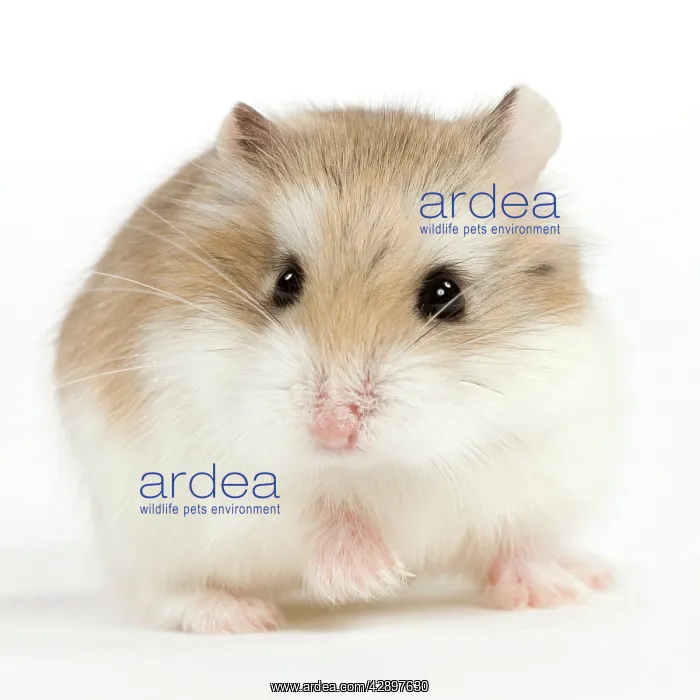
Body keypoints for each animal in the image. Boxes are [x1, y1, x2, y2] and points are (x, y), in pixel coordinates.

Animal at [55, 86, 619, 634]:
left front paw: (551, 591)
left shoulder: (538, 446)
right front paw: (374, 578)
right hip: (141, 537)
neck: (381, 466)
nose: (333, 429)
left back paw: (584, 575)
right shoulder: (216, 462)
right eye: (285, 282)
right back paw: (240, 615)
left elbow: (514, 536)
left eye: (446, 294)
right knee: (164, 593)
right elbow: (316, 509)